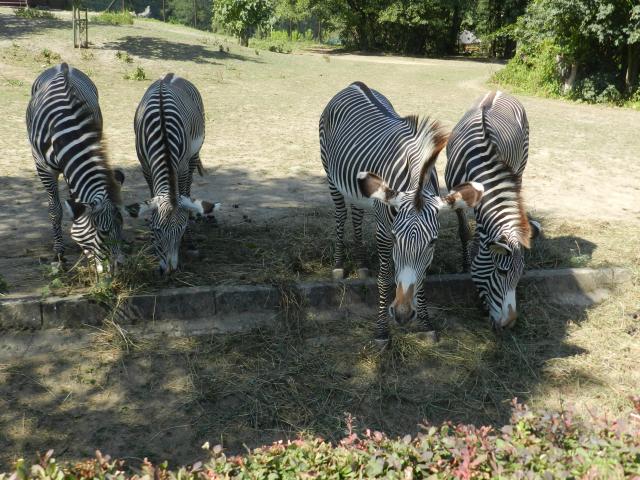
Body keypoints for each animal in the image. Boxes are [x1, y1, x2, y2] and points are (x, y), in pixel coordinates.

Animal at [26, 63, 126, 274]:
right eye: (103, 231)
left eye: (122, 224)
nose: (119, 267)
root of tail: (62, 65)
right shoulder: (44, 167)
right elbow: (55, 210)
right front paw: (59, 254)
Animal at [125, 71, 220, 274]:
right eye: (156, 230)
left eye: (181, 230)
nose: (169, 271)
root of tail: (171, 75)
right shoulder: (146, 167)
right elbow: (152, 194)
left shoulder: (182, 167)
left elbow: (183, 195)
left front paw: (189, 240)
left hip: (194, 155)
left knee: (189, 185)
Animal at [322, 81, 482, 342]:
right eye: (396, 239)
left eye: (433, 242)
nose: (403, 314)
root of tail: (354, 85)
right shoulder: (385, 232)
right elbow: (385, 278)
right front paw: (381, 331)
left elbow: (421, 279)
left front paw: (426, 324)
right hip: (330, 176)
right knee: (340, 215)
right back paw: (338, 266)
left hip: (358, 190)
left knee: (356, 215)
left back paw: (362, 264)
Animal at [444, 90, 540, 330]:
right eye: (502, 271)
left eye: (520, 274)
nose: (509, 324)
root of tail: (499, 90)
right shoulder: (453, 194)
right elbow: (465, 232)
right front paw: (466, 264)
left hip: (520, 167)